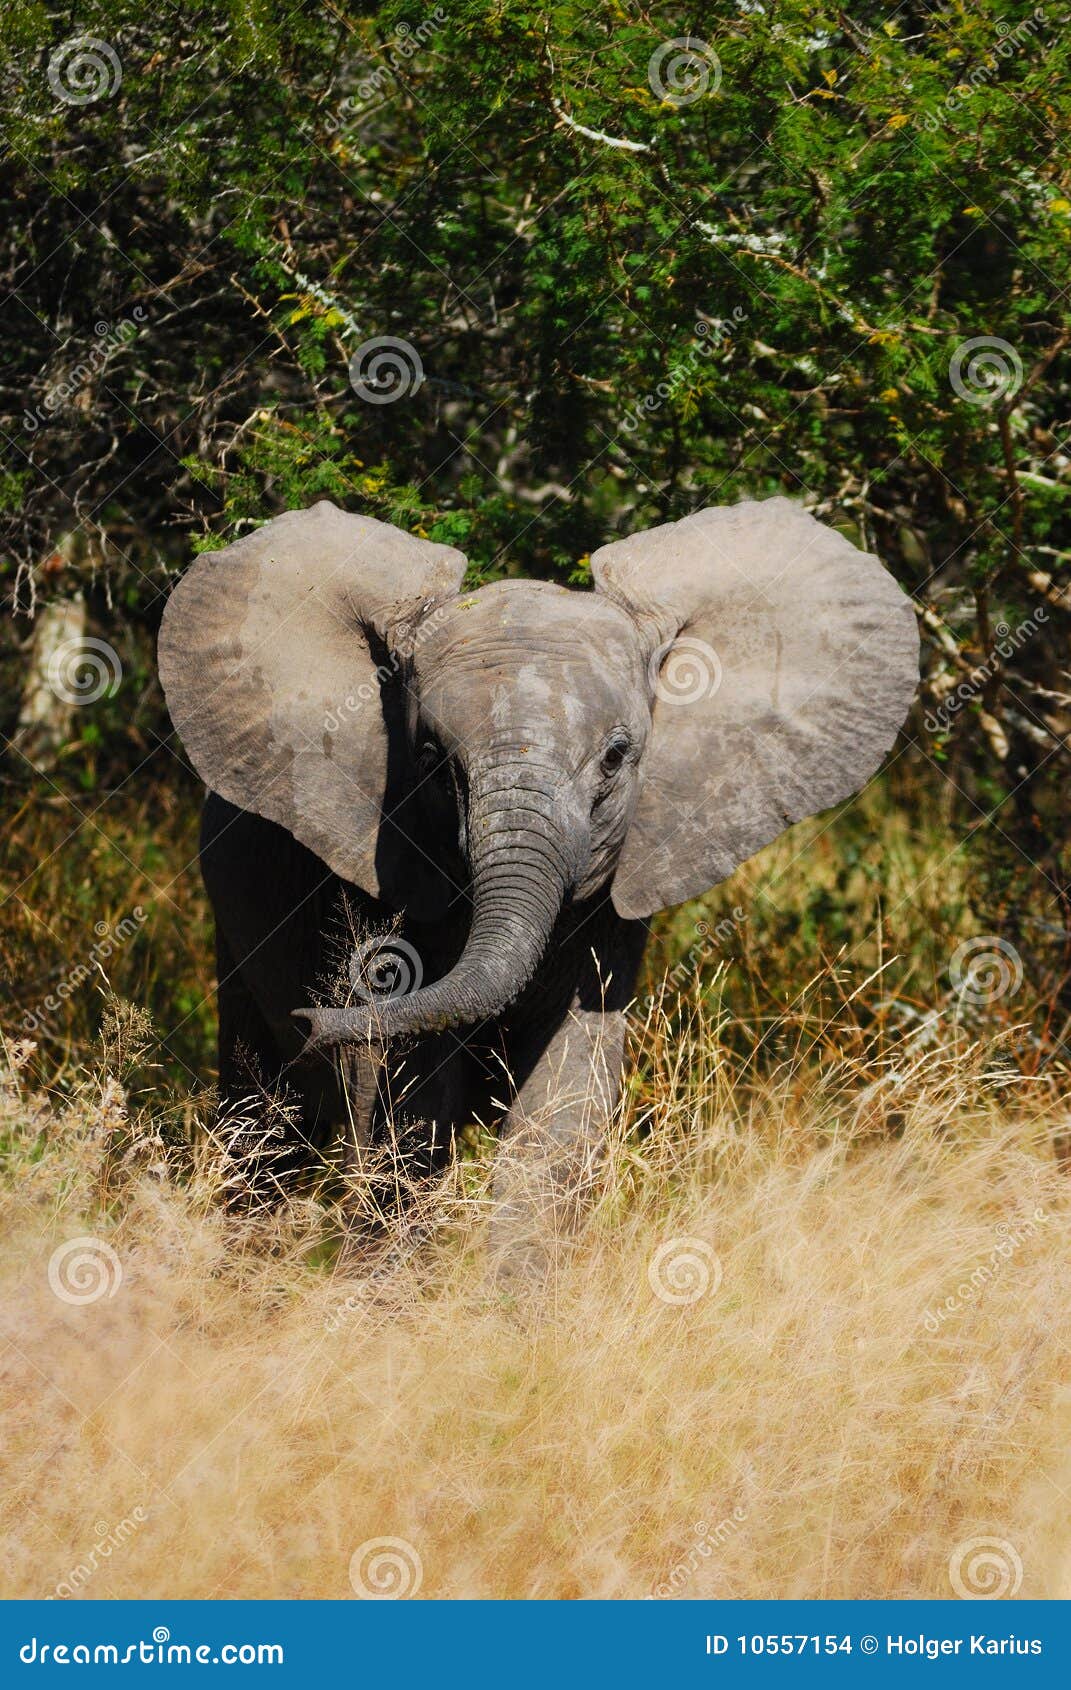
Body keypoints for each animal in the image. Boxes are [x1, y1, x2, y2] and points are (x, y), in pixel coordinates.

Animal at [158, 496, 918, 1274]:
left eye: (616, 757)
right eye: (429, 760)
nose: (314, 1023)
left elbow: (565, 1095)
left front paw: (514, 1304)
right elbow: (404, 1097)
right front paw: (382, 1301)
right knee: (267, 1115)